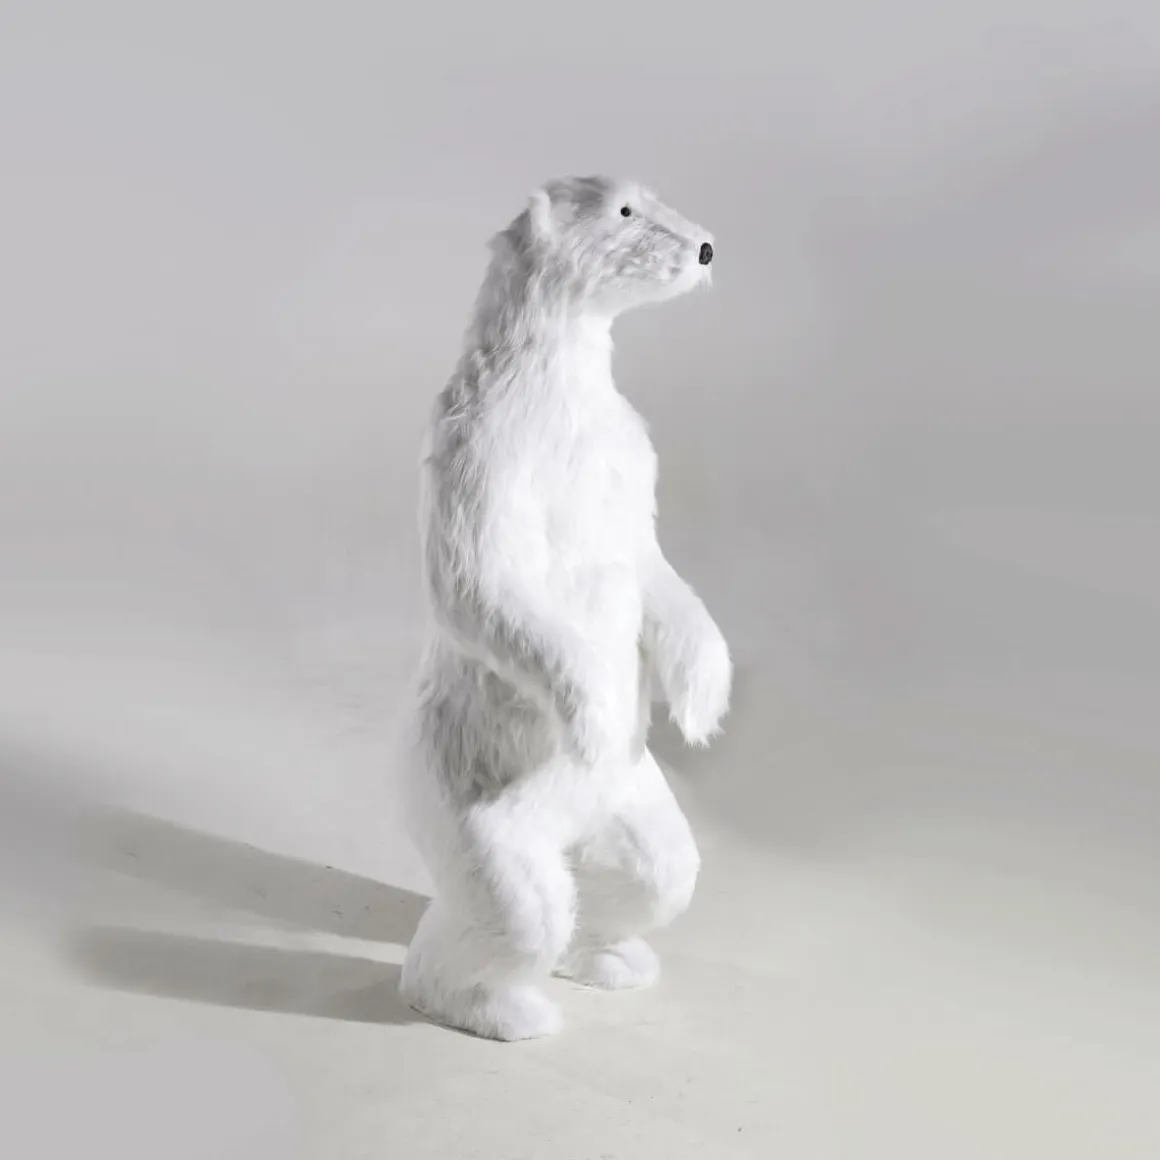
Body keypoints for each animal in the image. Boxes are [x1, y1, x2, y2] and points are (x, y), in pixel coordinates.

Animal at [398, 175, 731, 1041]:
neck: (555, 390)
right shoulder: (486, 448)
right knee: (516, 900)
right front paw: (593, 713)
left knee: (656, 872)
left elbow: (651, 566)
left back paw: (613, 959)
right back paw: (500, 1005)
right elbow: (481, 584)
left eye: (654, 196)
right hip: (470, 791)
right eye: (624, 210)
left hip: (630, 796)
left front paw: (702, 700)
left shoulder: (626, 451)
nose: (707, 246)